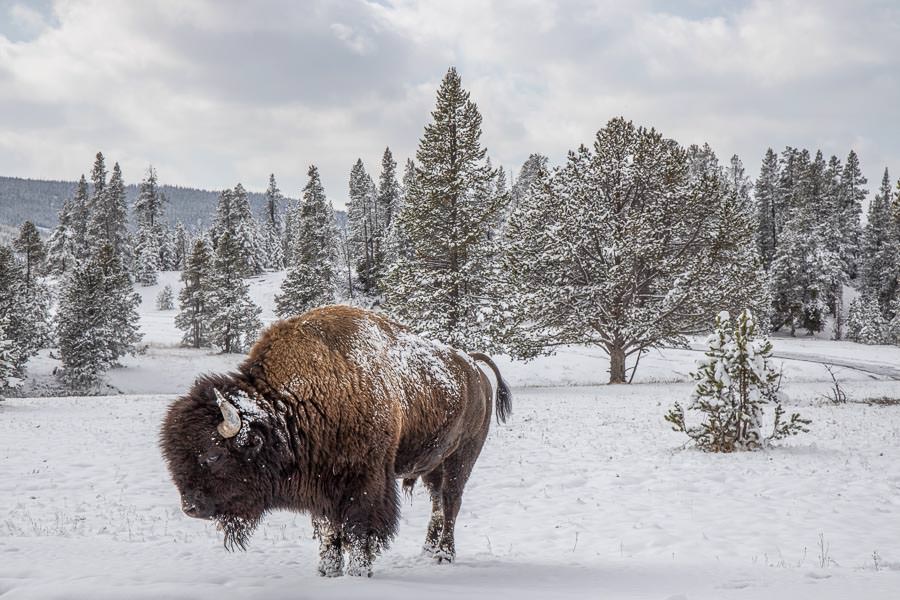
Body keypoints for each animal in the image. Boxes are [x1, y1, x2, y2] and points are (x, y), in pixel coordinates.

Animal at [160, 305, 511, 577]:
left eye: (213, 455)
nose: (191, 507)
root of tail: (472, 365)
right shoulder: (322, 487)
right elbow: (330, 531)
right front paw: (327, 571)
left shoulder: (366, 482)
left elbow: (358, 531)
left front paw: (358, 572)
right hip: (433, 464)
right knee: (438, 504)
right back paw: (427, 552)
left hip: (462, 457)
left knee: (451, 503)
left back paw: (443, 557)